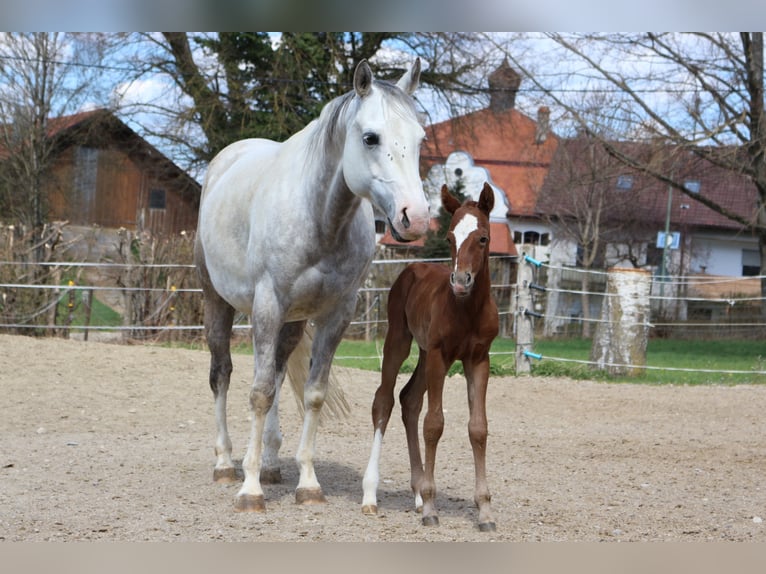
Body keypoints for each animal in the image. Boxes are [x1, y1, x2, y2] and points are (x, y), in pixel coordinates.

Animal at [195, 59, 430, 513]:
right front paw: (250, 490)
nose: (417, 217)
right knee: (222, 374)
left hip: (290, 323)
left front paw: (307, 483)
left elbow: (311, 394)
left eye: (419, 140)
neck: (319, 217)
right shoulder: (267, 305)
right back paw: (225, 463)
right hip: (218, 302)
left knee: (276, 372)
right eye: (370, 138)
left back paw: (270, 464)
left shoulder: (335, 315)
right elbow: (258, 392)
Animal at [361, 182, 499, 531]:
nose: (461, 281)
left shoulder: (479, 359)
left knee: (409, 399)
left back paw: (417, 493)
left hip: (424, 355)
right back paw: (371, 495)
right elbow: (434, 424)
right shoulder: (440, 354)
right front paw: (431, 509)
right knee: (384, 401)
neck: (468, 309)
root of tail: (412, 268)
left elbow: (478, 427)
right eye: (449, 238)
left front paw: (484, 511)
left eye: (482, 238)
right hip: (401, 341)